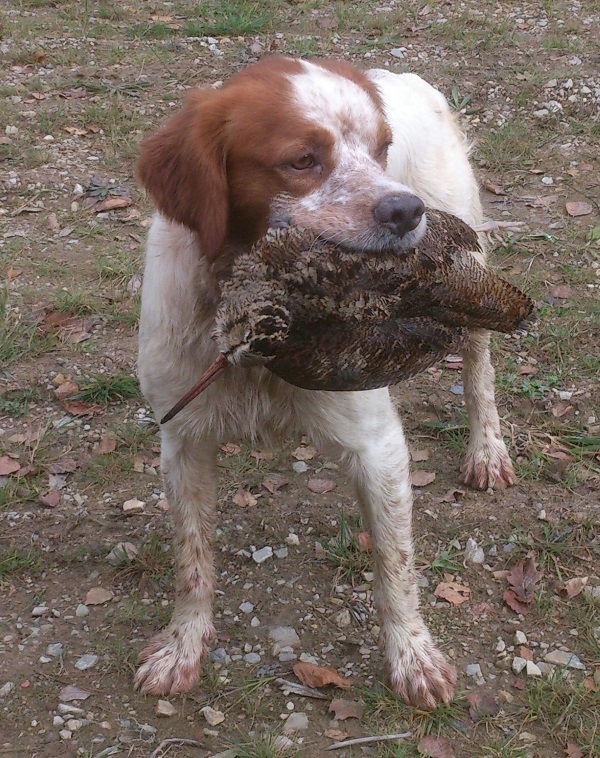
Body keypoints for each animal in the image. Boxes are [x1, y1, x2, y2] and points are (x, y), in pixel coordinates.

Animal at [135, 55, 516, 712]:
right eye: (301, 160)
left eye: (382, 149)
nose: (406, 212)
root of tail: (404, 73)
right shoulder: (182, 442)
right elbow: (192, 560)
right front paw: (183, 647)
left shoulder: (378, 447)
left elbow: (395, 565)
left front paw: (413, 657)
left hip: (468, 280)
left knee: (479, 367)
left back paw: (486, 449)